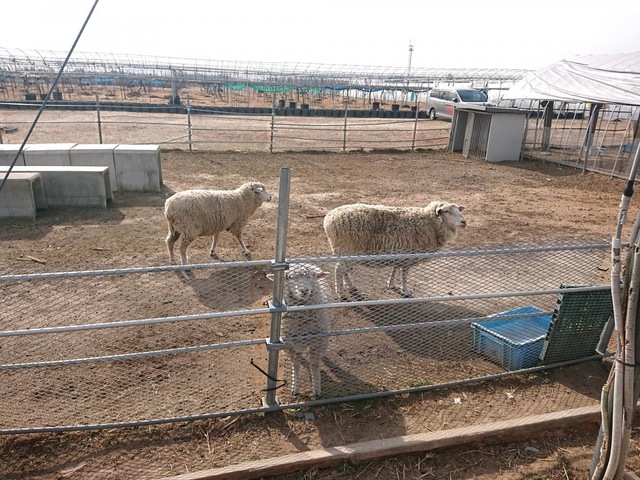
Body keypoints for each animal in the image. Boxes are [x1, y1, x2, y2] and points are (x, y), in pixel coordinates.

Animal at [267, 263, 333, 397]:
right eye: (289, 277)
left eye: (313, 276)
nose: (304, 291)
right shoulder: (290, 345)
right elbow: (296, 365)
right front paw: (295, 387)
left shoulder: (317, 342)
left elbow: (314, 365)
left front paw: (316, 388)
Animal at [323, 200, 467, 299]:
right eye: (446, 211)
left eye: (459, 210)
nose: (464, 222)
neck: (430, 223)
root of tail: (328, 218)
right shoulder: (408, 256)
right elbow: (404, 275)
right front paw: (406, 290)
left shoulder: (399, 253)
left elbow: (395, 269)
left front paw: (391, 284)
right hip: (347, 249)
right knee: (338, 270)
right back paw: (340, 292)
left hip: (345, 252)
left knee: (343, 271)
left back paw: (350, 286)